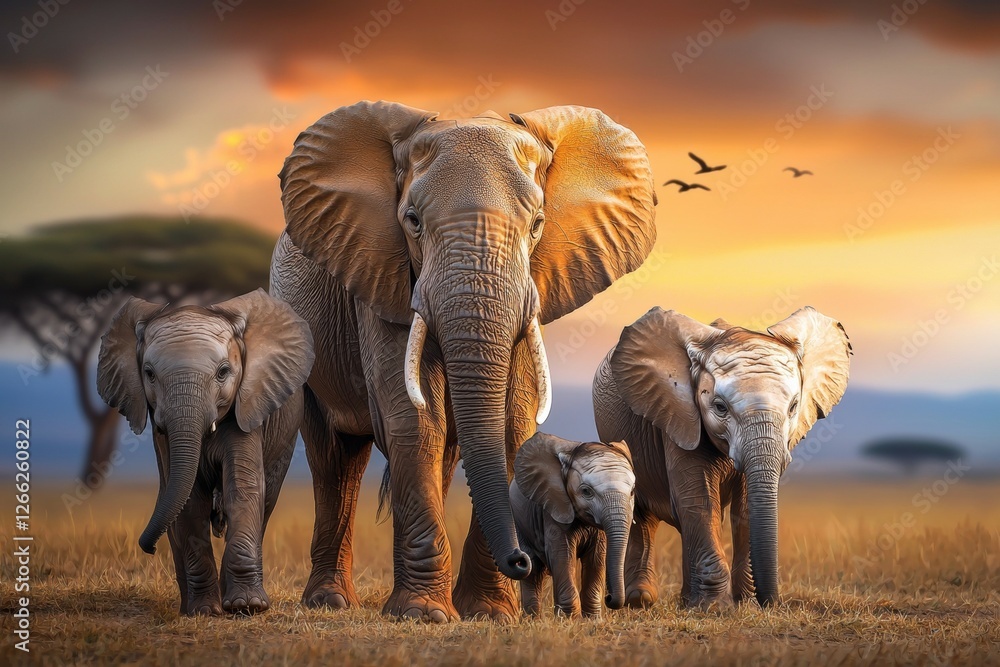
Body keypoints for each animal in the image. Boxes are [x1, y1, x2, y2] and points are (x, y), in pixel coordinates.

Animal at [96, 288, 315, 615]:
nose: (147, 547)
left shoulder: (247, 410)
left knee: (266, 501)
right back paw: (190, 607)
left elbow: (244, 489)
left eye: (224, 372)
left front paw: (246, 606)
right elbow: (189, 501)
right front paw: (204, 611)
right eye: (149, 374)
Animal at [510, 433, 635, 618]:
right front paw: (569, 620)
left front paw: (593, 620)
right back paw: (533, 619)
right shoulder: (555, 507)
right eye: (586, 491)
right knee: (533, 569)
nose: (609, 597)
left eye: (632, 491)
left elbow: (597, 557)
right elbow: (562, 554)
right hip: (519, 521)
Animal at [593, 306, 850, 608]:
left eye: (794, 407)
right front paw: (716, 607)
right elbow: (699, 501)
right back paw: (642, 599)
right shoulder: (679, 417)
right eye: (719, 407)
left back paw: (687, 600)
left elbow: (745, 507)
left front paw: (744, 603)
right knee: (645, 516)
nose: (772, 602)